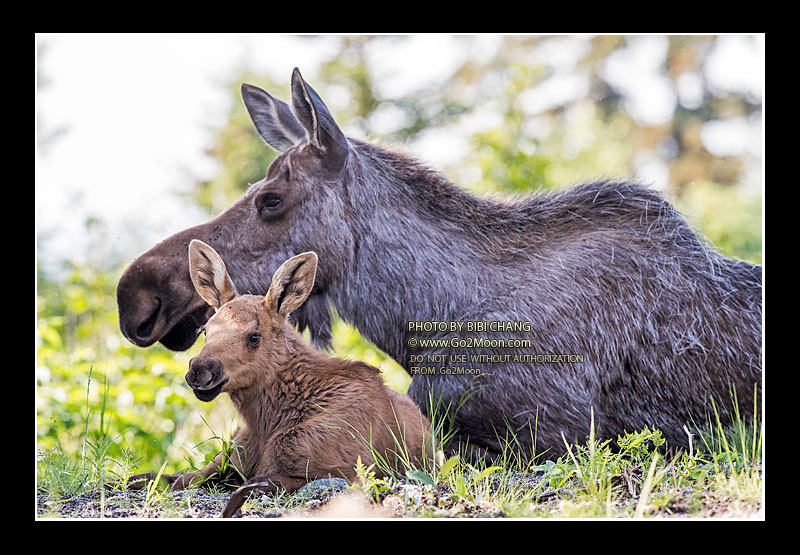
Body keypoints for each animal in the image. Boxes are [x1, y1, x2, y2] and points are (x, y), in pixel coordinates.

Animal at [117, 240, 432, 517]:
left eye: (254, 336)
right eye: (205, 330)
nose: (200, 371)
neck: (267, 421)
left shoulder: (348, 471)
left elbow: (252, 485)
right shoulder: (229, 460)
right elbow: (155, 477)